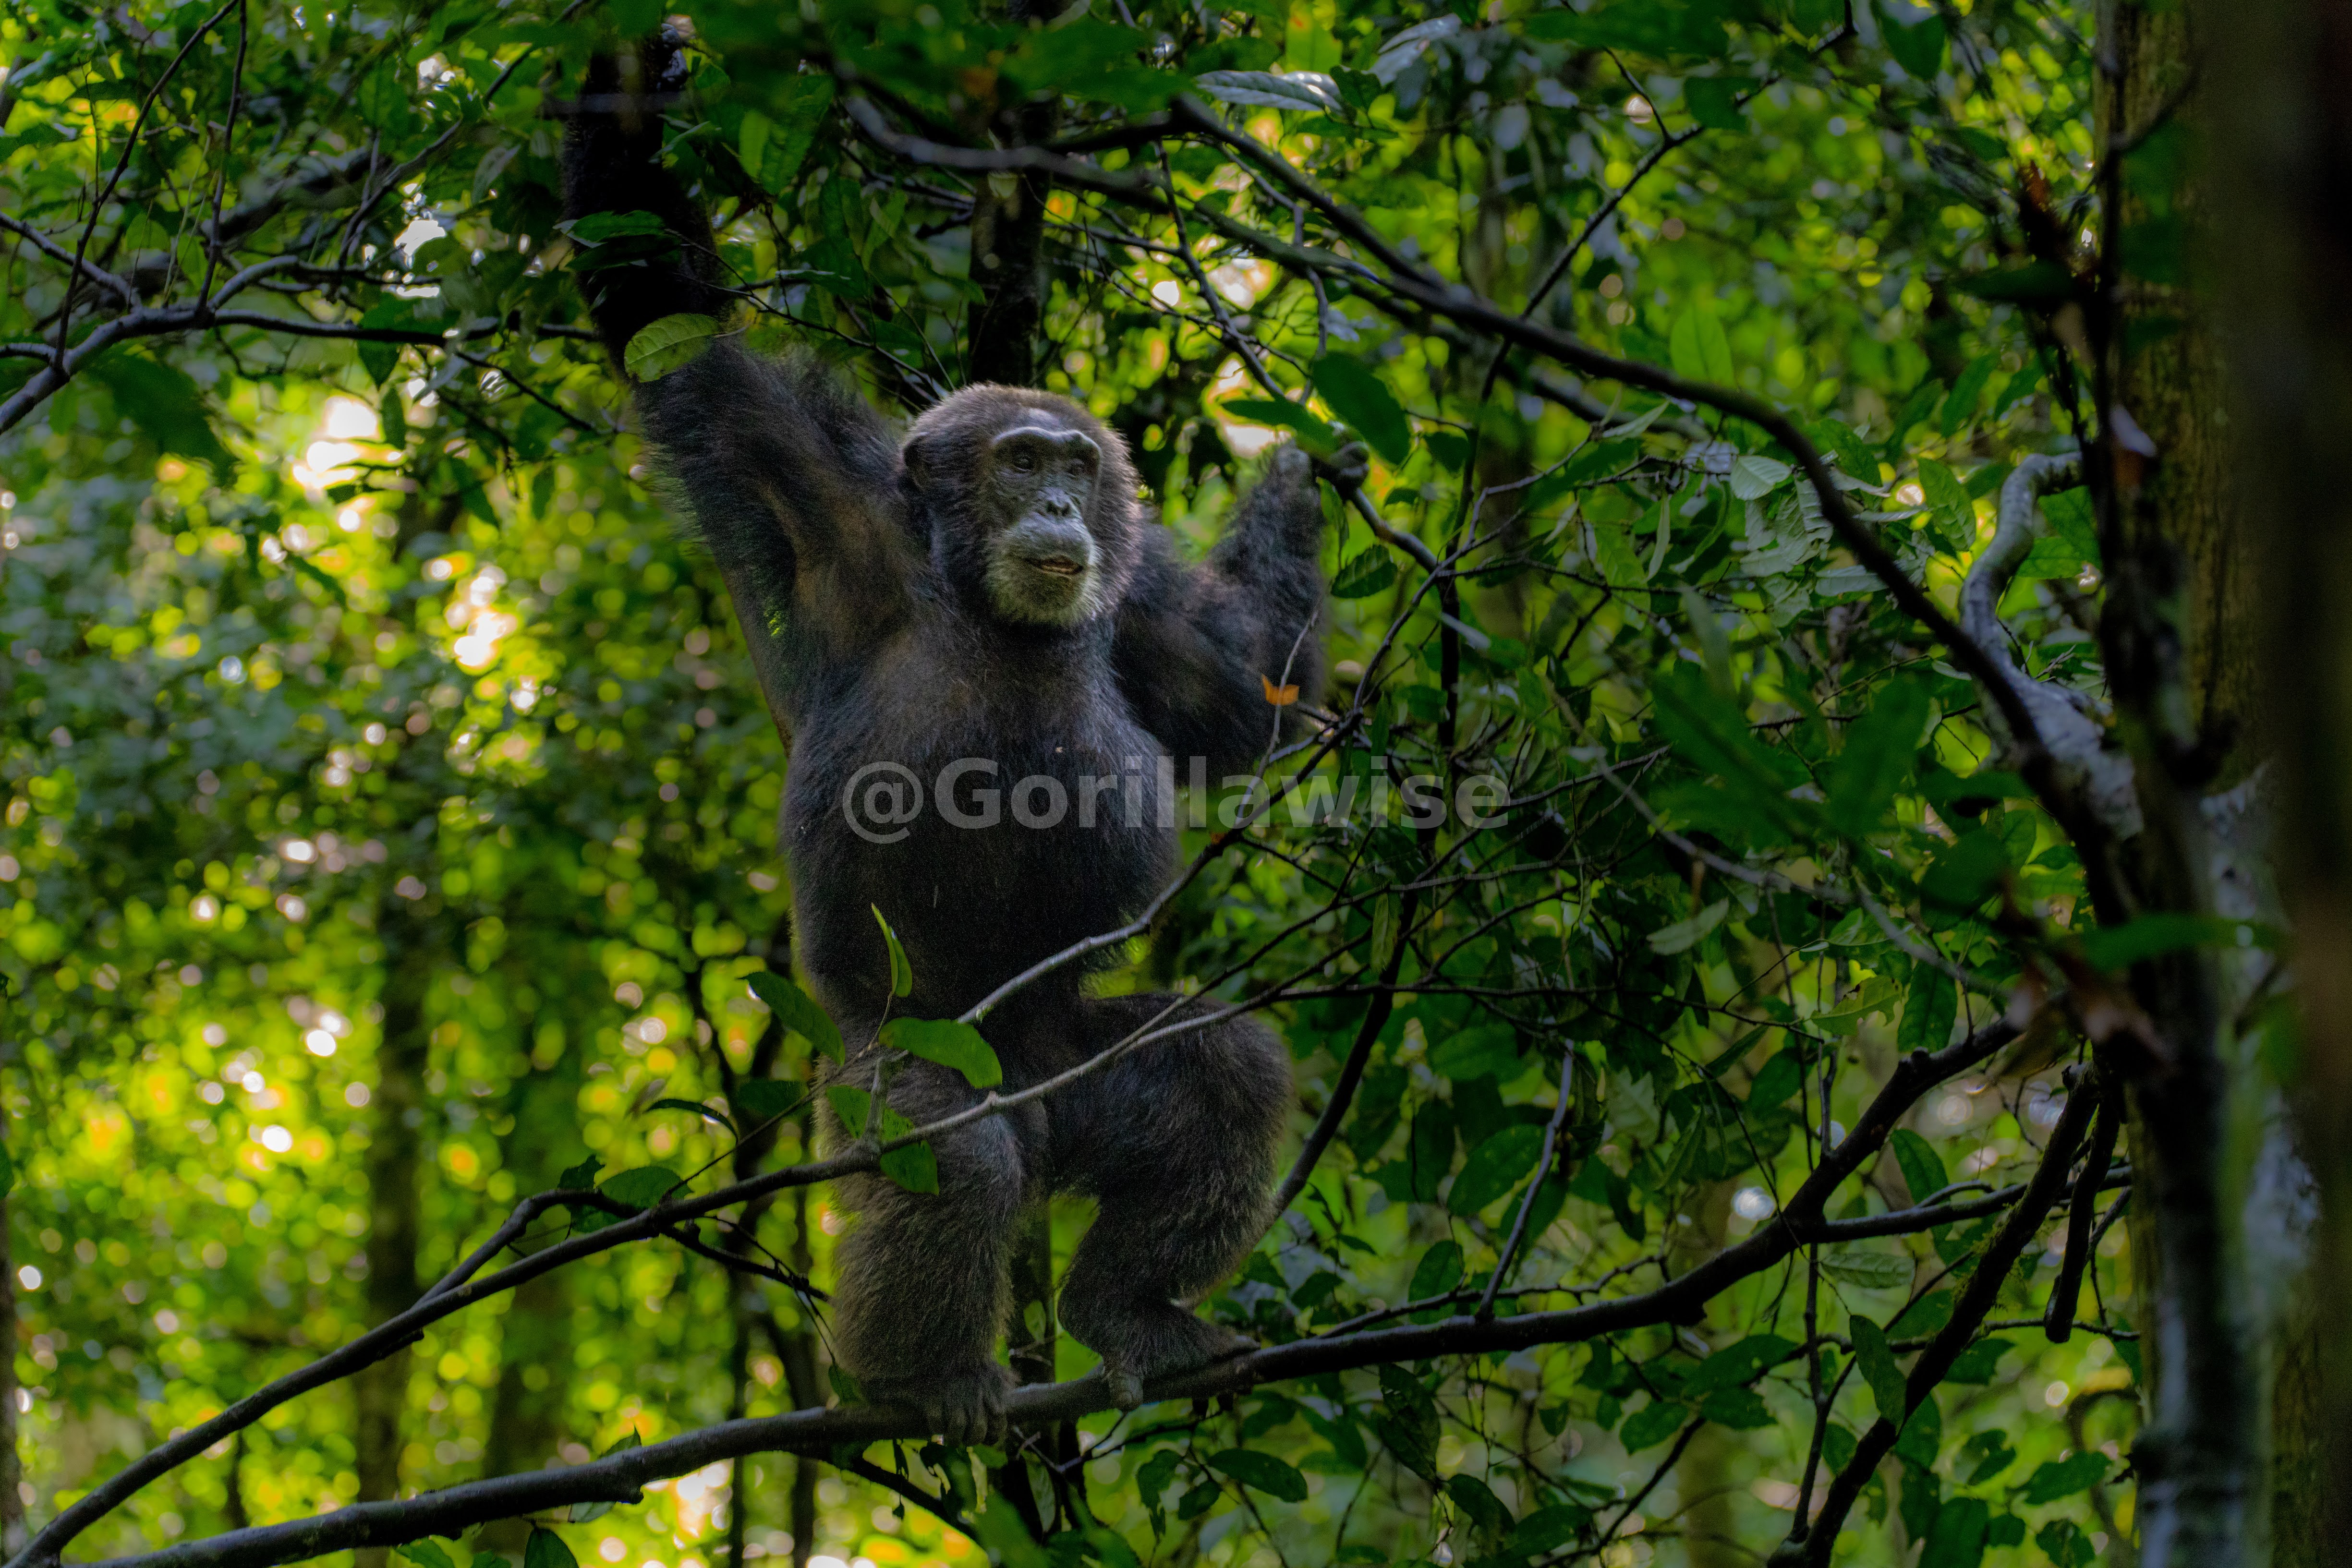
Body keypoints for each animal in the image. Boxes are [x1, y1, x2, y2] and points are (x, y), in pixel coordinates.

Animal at [562, 37, 1365, 1442]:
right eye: (1016, 461)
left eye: (1075, 465)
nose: (1058, 505)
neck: (978, 602)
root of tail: (1047, 1127)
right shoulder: (809, 490)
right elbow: (671, 323)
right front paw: (625, 100)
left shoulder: (1137, 602)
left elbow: (1239, 694)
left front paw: (1297, 469)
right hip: (897, 1067)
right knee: (963, 1157)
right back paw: (920, 1375)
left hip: (1085, 1068)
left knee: (1221, 1072)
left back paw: (1131, 1311)